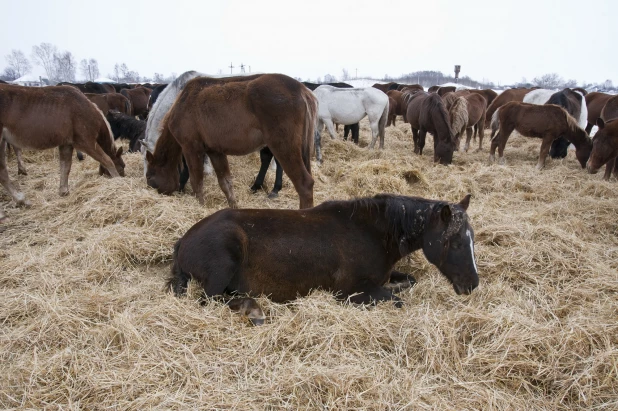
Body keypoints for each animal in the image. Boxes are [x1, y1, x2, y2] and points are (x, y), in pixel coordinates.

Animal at [146, 73, 318, 209]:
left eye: (149, 177)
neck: (183, 102)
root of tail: (302, 90)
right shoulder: (215, 151)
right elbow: (225, 183)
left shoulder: (191, 148)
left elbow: (197, 181)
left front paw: (200, 207)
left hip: (283, 148)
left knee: (304, 184)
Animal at [166, 195, 478, 326]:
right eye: (456, 242)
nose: (472, 285)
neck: (371, 232)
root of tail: (184, 240)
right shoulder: (349, 292)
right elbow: (396, 300)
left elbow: (407, 282)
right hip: (223, 266)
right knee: (209, 300)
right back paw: (253, 310)